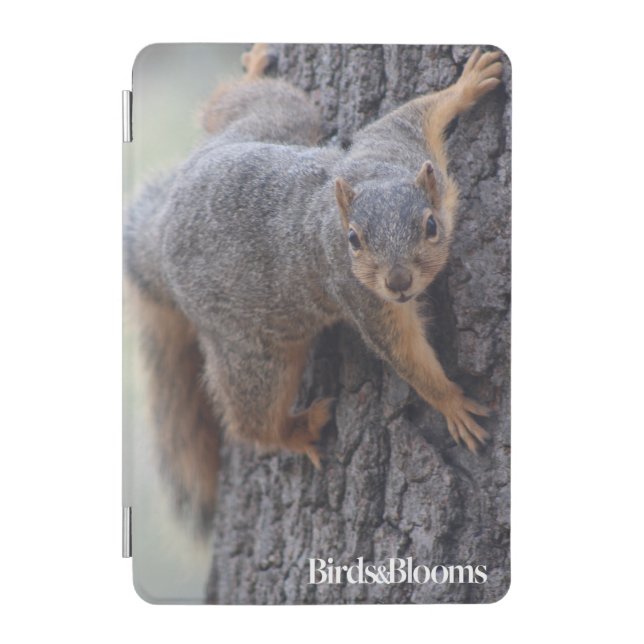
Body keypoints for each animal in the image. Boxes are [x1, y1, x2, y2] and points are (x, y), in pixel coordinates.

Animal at [124, 43, 503, 531]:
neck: (375, 177)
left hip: (274, 123)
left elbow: (415, 111)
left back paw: (251, 73)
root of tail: (161, 234)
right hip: (254, 353)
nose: (398, 283)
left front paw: (467, 83)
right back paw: (296, 430)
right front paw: (450, 402)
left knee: (235, 107)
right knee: (251, 419)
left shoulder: (396, 143)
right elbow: (405, 353)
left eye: (431, 226)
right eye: (353, 240)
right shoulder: (362, 297)